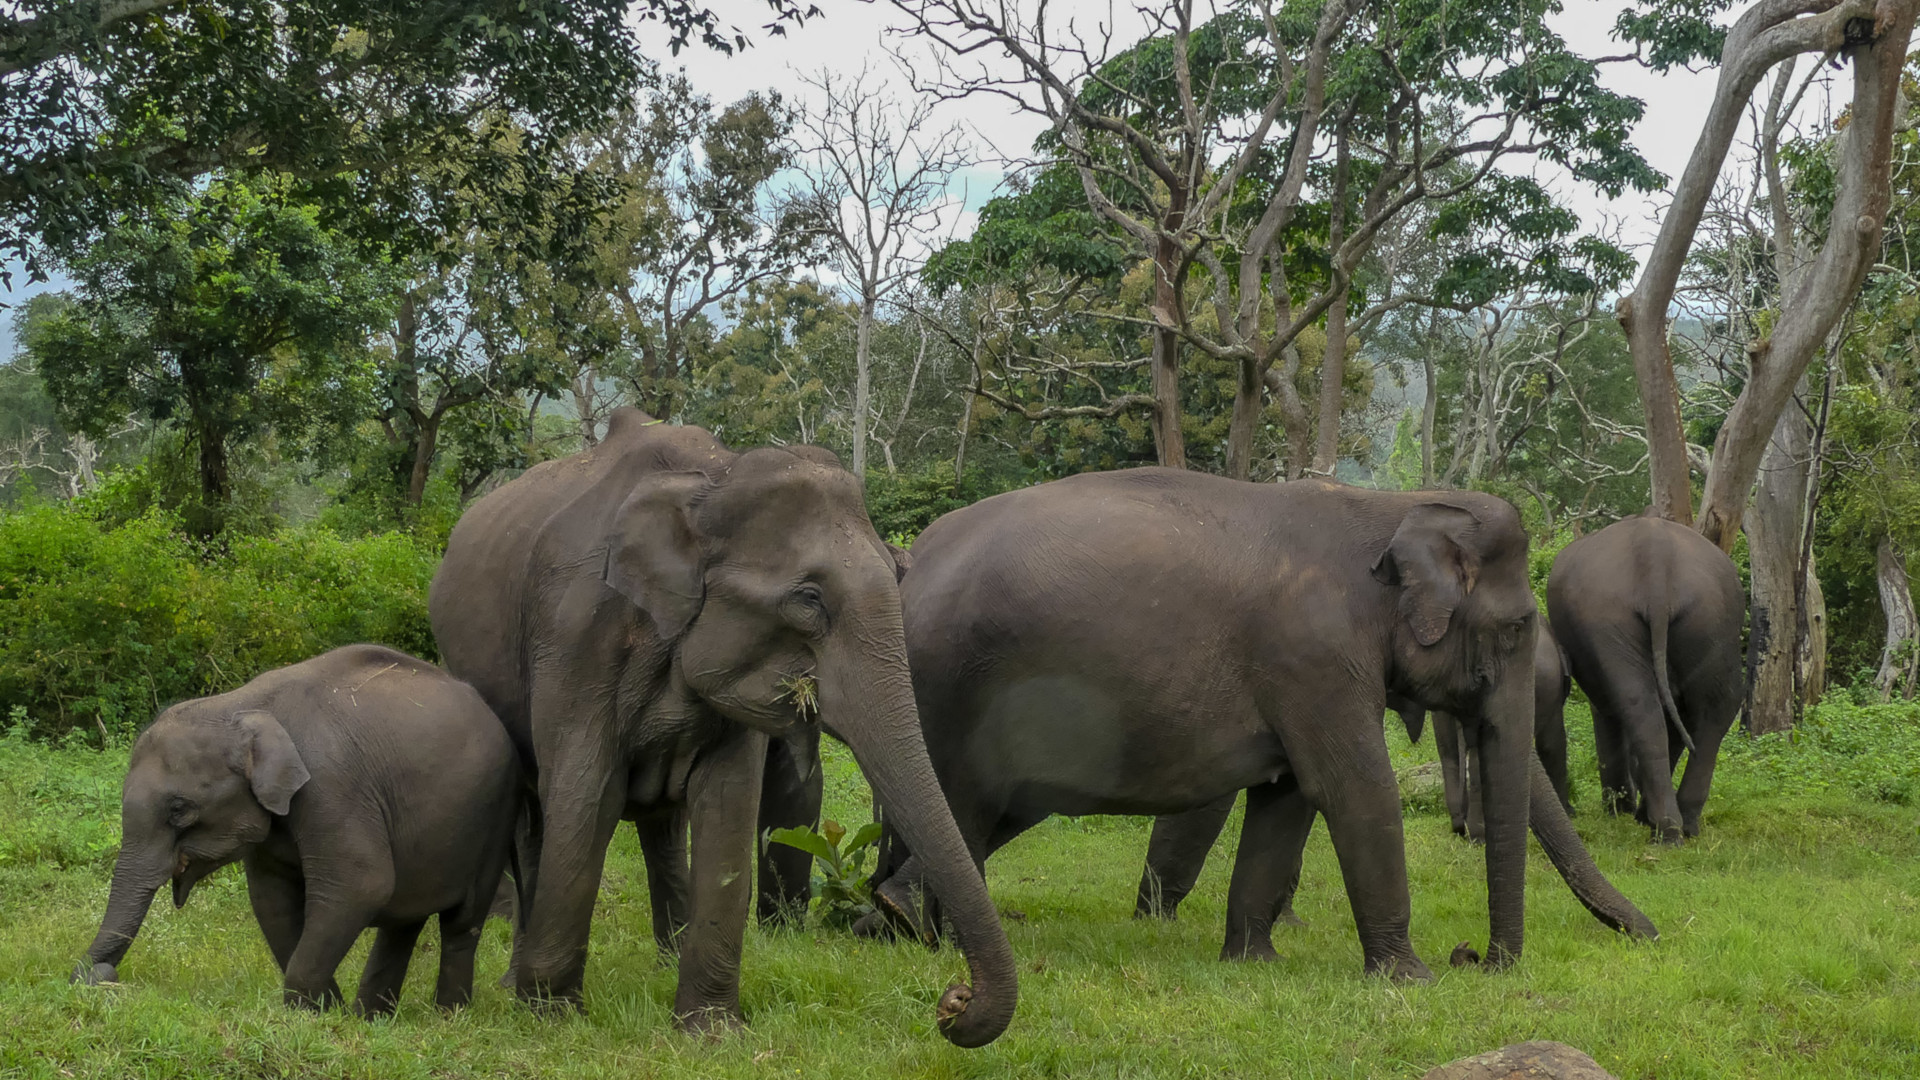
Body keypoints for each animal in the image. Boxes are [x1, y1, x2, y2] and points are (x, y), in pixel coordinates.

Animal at [73, 641, 514, 1014]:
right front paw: (323, 1011)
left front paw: (311, 1012)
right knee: (402, 925)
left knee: (461, 923)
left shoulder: (334, 787)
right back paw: (371, 1018)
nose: (102, 975)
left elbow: (362, 883)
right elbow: (272, 898)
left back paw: (448, 1016)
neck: (243, 705)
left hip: (494, 816)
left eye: (179, 809)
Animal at [426, 405, 1013, 1045]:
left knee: (660, 822)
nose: (951, 1002)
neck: (713, 478)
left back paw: (664, 962)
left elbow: (728, 804)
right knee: (536, 821)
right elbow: (587, 794)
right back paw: (516, 983)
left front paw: (710, 1034)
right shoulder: (573, 635)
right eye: (808, 600)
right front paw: (552, 1019)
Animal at [864, 466, 1658, 972]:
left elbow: (1288, 797)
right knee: (966, 806)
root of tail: (911, 562)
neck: (1395, 504)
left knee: (980, 812)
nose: (1479, 959)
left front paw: (1253, 963)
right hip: (952, 686)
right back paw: (918, 927)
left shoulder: (1303, 677)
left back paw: (891, 922)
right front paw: (1409, 977)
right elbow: (1355, 788)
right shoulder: (1313, 655)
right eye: (1520, 626)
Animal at [1543, 511, 1743, 841]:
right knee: (1714, 706)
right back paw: (1682, 825)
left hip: (1617, 617)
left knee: (1640, 706)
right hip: (1709, 615)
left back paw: (1664, 829)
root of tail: (1656, 559)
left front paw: (1621, 810)